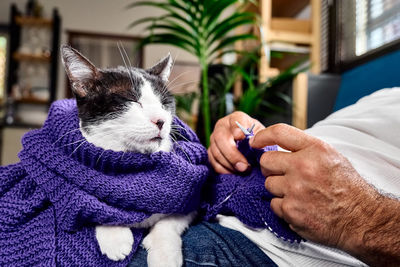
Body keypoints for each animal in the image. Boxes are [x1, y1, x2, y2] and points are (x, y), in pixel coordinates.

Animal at [60, 45, 195, 267]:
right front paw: (115, 237)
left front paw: (165, 253)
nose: (161, 120)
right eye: (131, 100)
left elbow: (172, 219)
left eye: (164, 103)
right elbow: (96, 205)